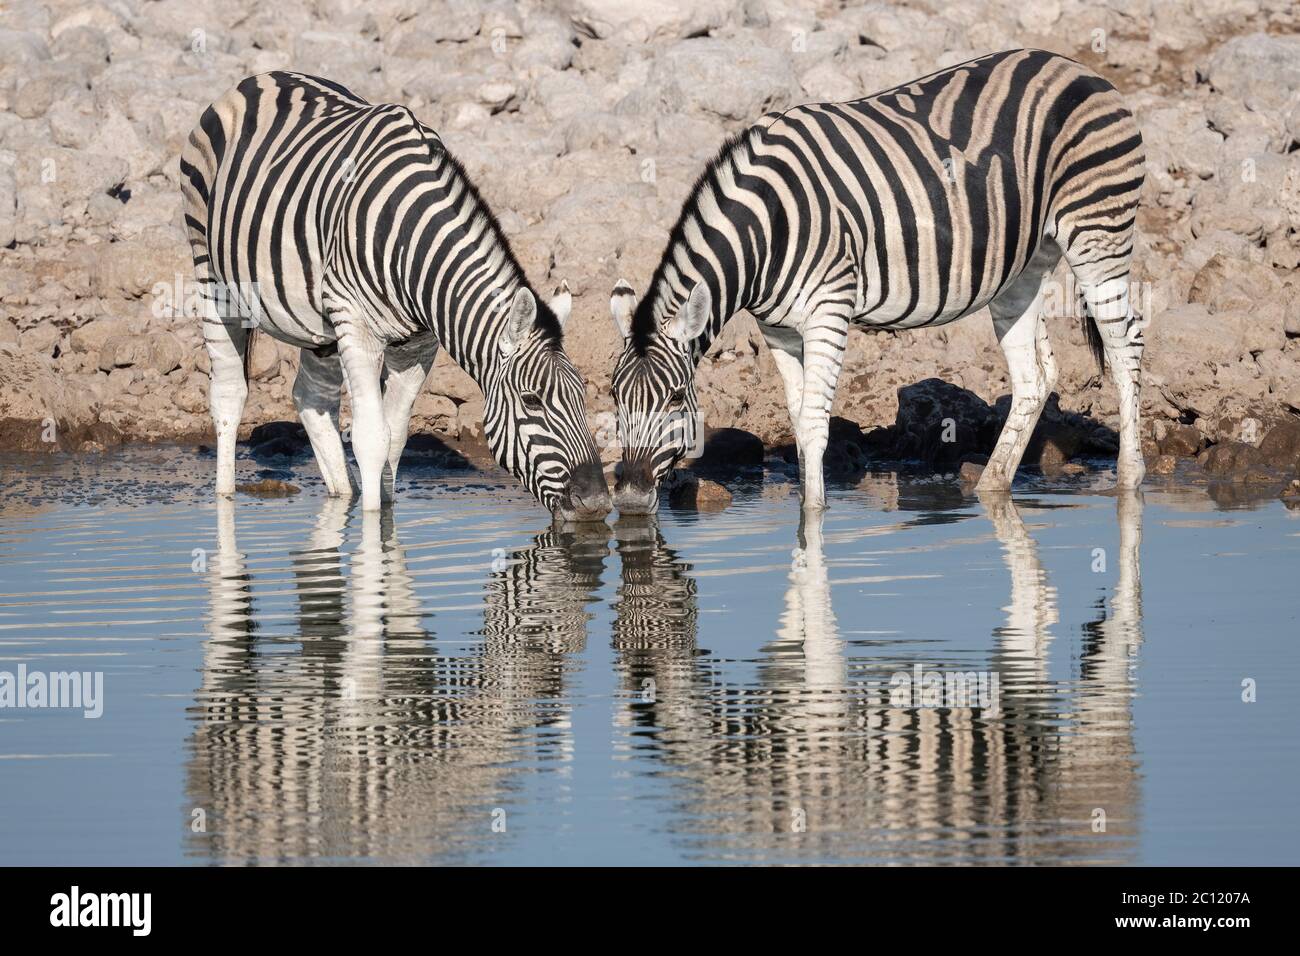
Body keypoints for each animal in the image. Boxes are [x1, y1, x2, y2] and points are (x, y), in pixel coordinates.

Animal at [180, 72, 611, 522]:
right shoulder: (356, 325)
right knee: (229, 394)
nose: (596, 503)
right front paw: (373, 527)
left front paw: (386, 517)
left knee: (312, 397)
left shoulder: (417, 343)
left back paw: (343, 493)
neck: (412, 245)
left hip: (320, 322)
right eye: (532, 401)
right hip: (210, 276)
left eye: (583, 395)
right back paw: (225, 499)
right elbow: (371, 437)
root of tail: (261, 78)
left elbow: (396, 435)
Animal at [603, 50, 1144, 515]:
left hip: (1098, 231)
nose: (629, 498)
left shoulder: (829, 309)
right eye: (613, 398)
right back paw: (992, 486)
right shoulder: (777, 330)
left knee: (1124, 347)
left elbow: (814, 423)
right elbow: (799, 419)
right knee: (1035, 377)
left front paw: (814, 519)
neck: (767, 227)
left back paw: (1130, 479)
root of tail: (1073, 65)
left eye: (676, 399)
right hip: (1023, 267)